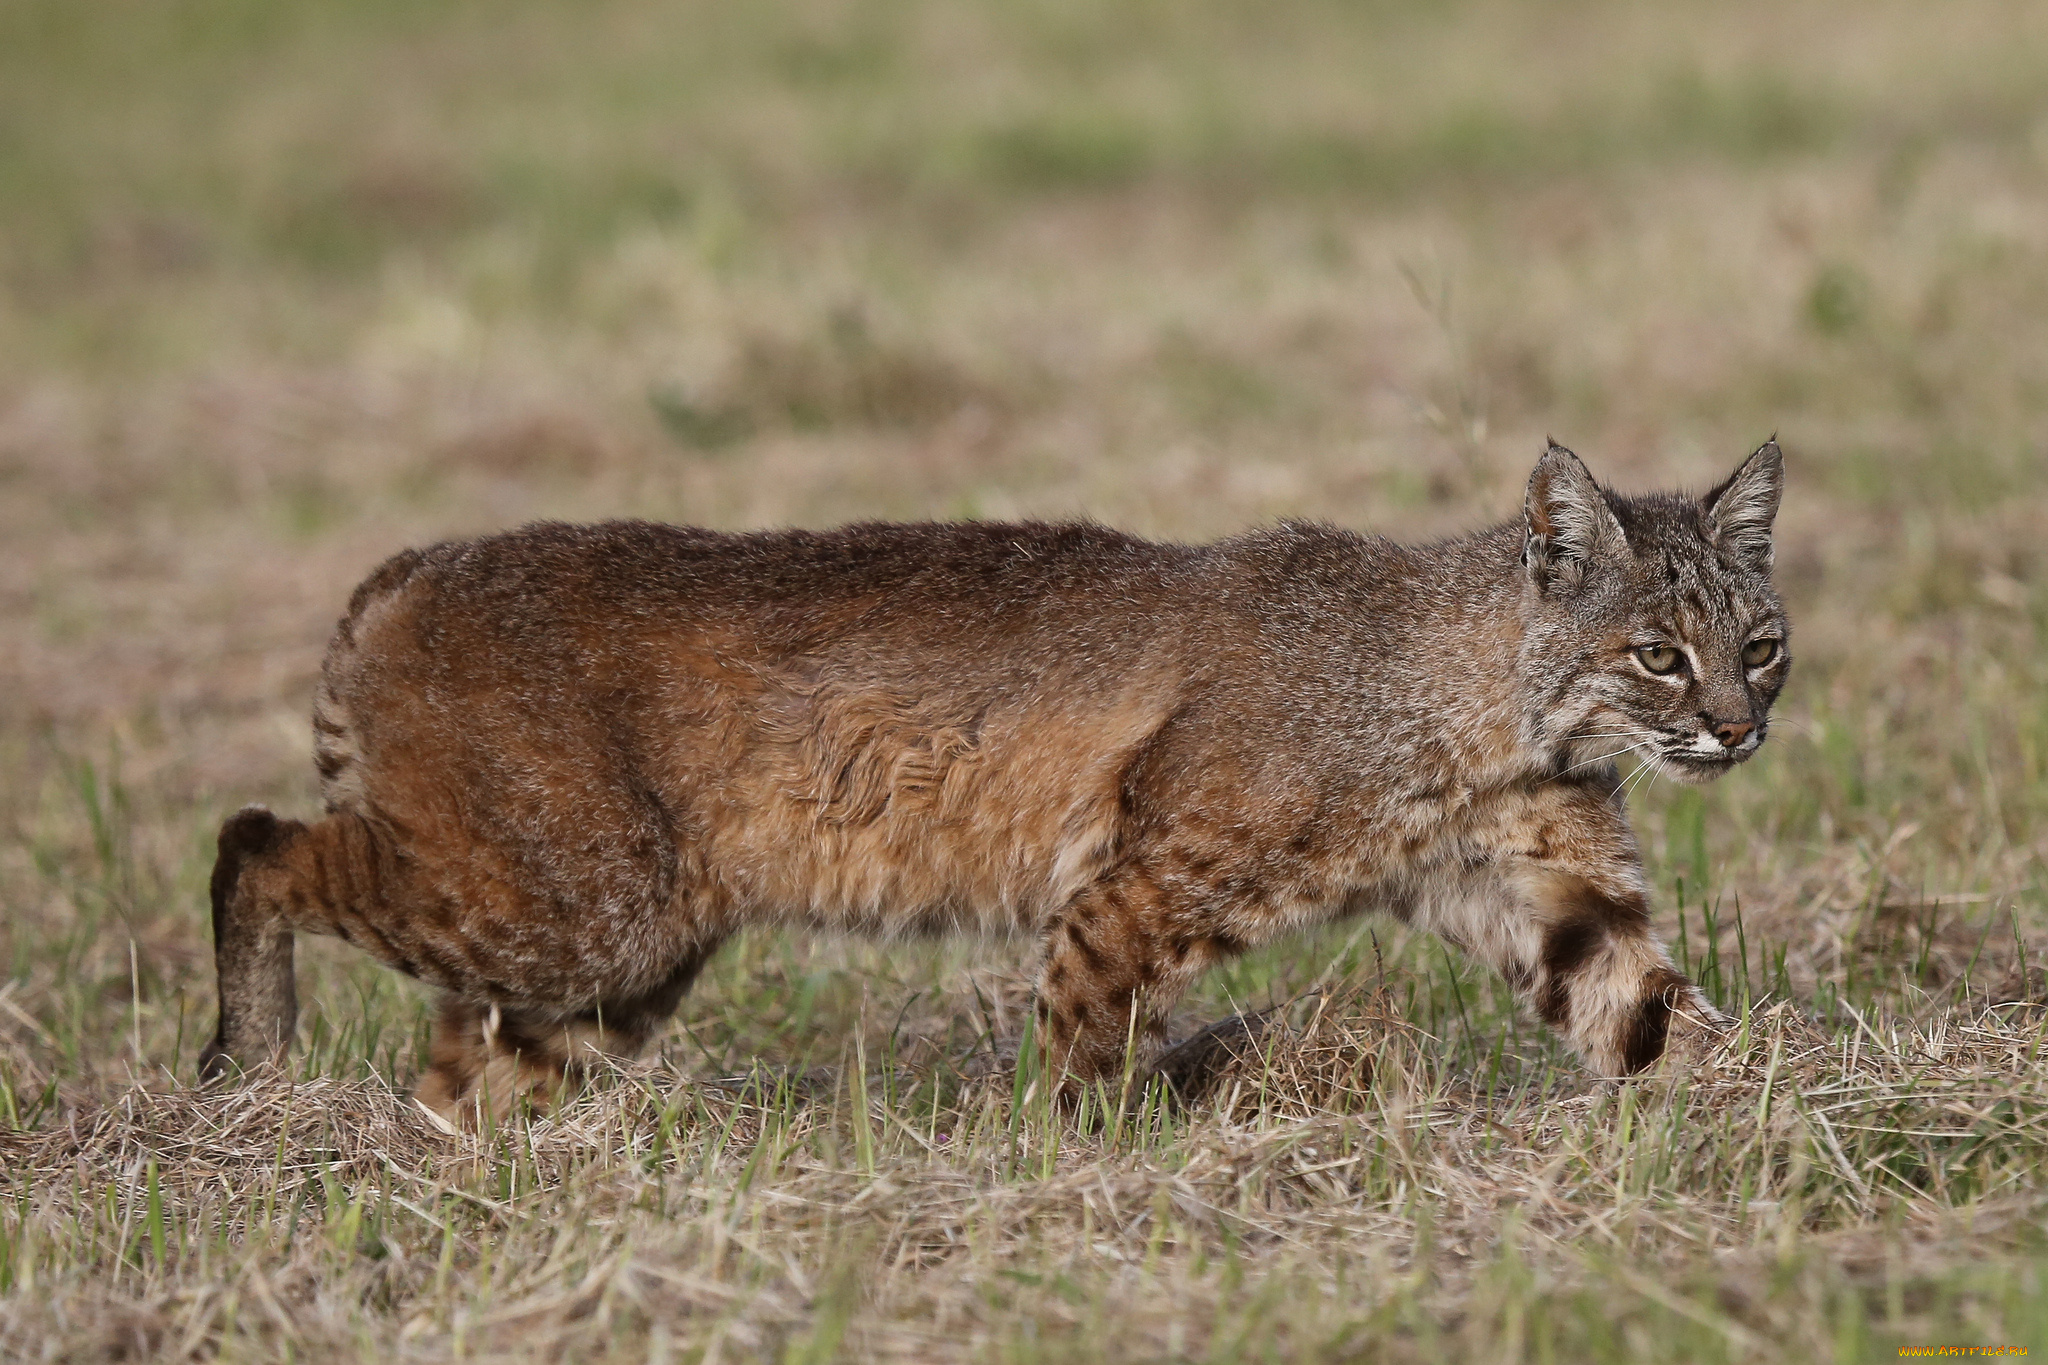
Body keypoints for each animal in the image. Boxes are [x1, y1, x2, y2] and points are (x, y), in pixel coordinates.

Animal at [199, 444, 1785, 1129]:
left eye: (1758, 646)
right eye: (1657, 655)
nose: (1733, 733)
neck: (1493, 707)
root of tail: (408, 563)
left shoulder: (1547, 894)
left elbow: (1660, 1016)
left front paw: (1805, 1125)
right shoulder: (1137, 884)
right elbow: (1081, 1043)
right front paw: (1065, 1166)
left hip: (613, 955)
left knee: (456, 1068)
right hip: (582, 901)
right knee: (252, 839)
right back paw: (251, 1068)